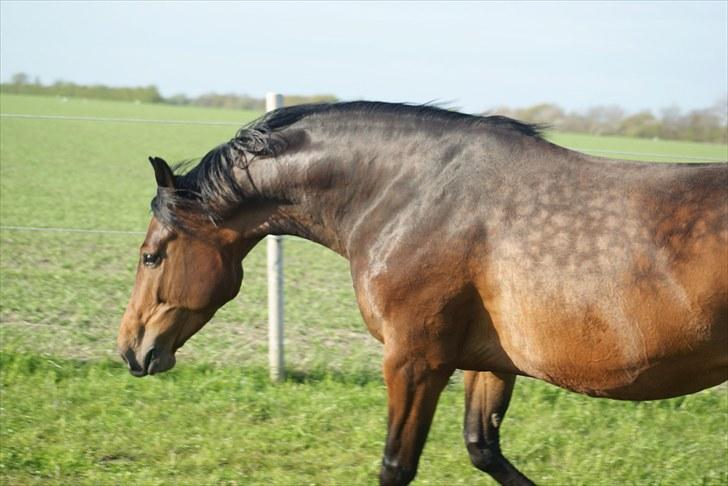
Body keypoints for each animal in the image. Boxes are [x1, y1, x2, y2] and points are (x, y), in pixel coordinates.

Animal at [116, 100, 724, 484]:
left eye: (151, 256)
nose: (130, 350)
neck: (411, 196)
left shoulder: (415, 359)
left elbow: (396, 465)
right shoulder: (487, 361)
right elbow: (484, 449)